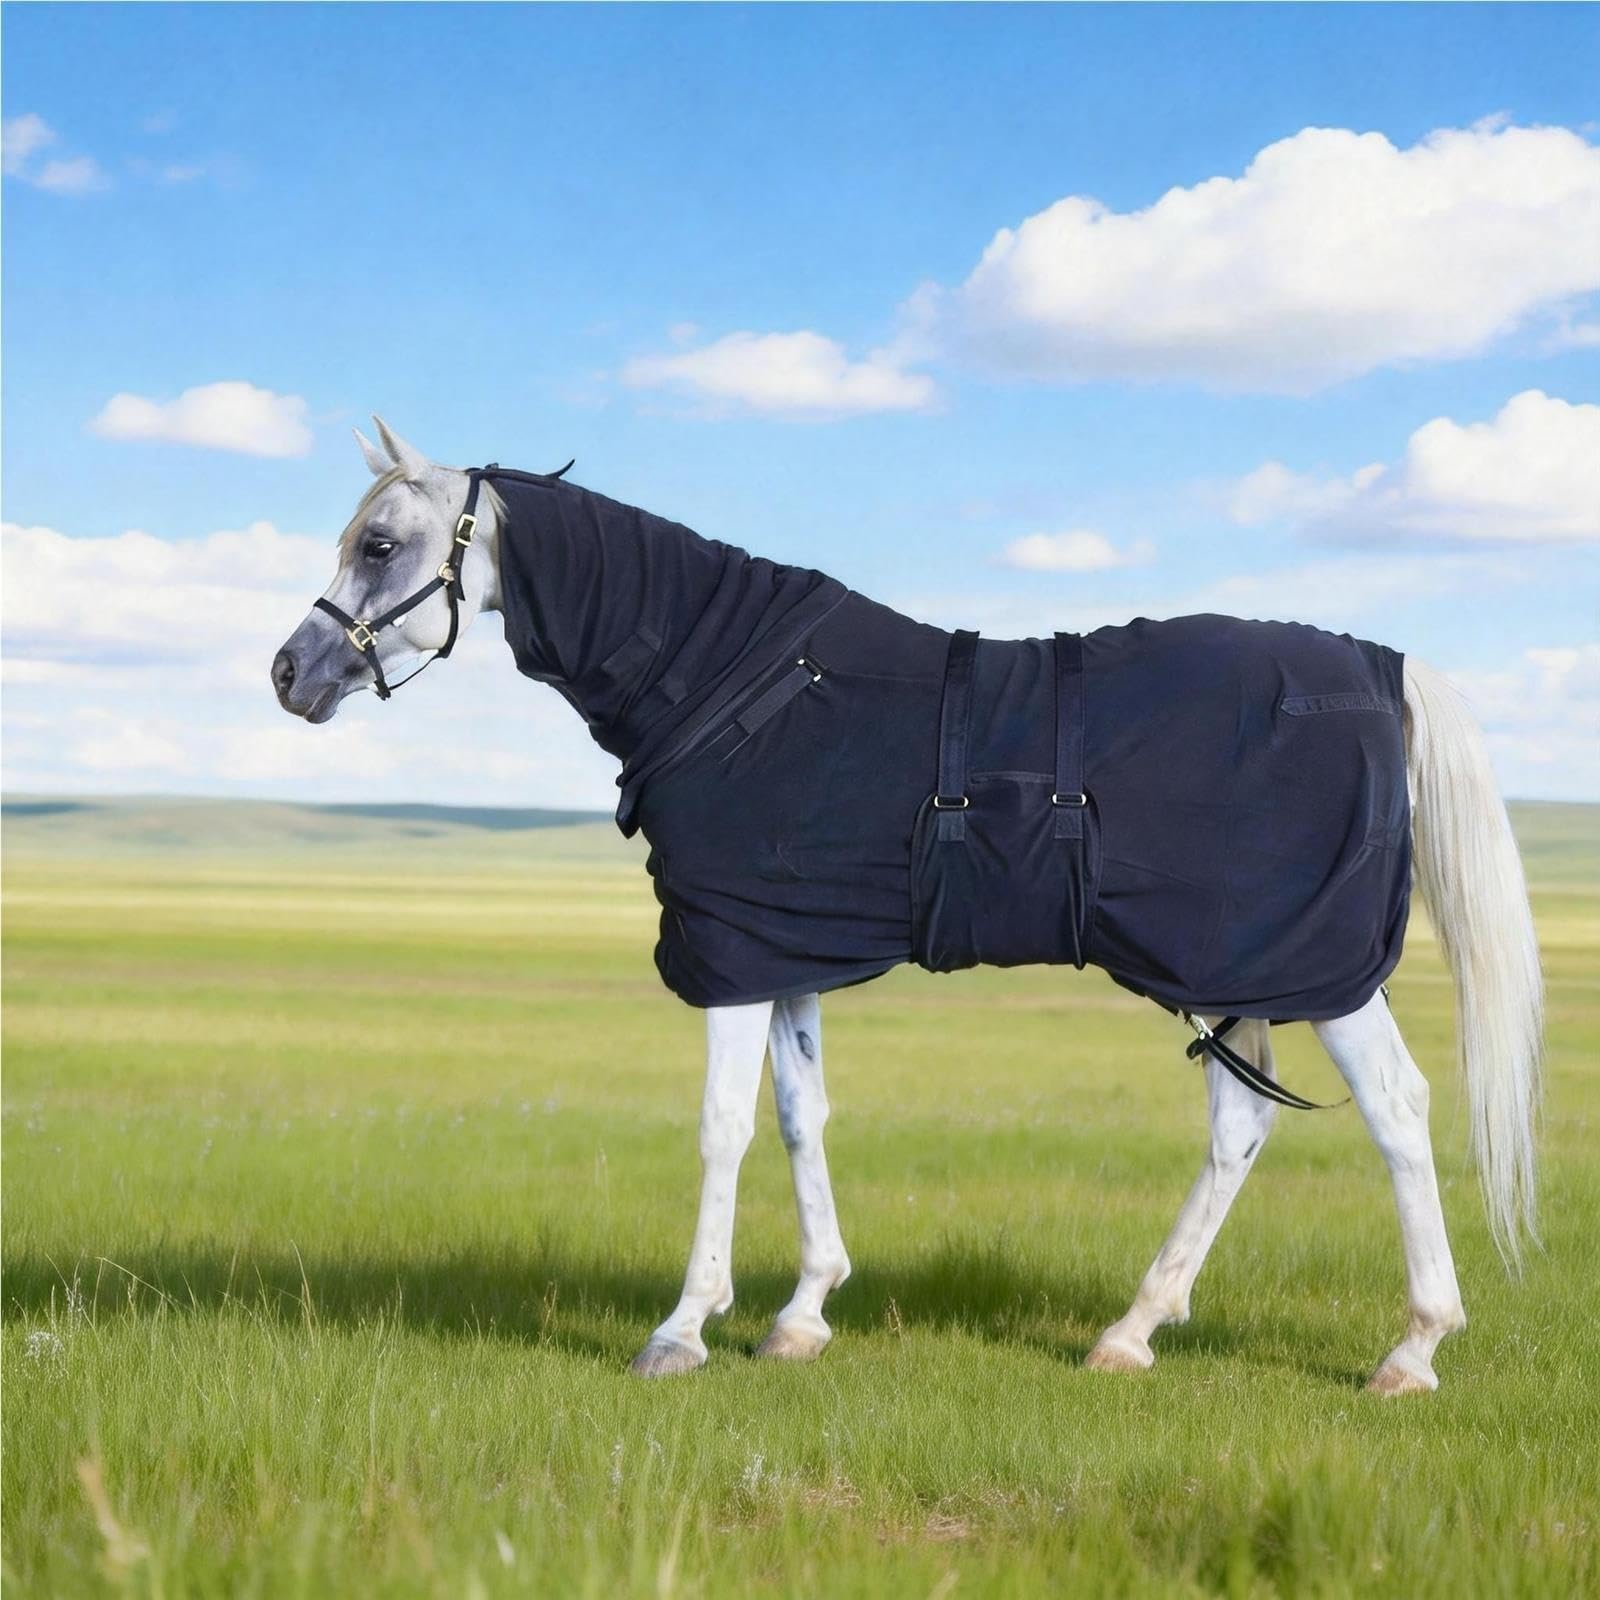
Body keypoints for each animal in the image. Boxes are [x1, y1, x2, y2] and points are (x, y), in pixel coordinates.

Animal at [271, 418, 1542, 1394]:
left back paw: (1412, 1348)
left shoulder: (733, 954)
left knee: (1395, 1109)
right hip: (1237, 967)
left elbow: (724, 1126)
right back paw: (1130, 1331)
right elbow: (801, 1117)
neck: (735, 683)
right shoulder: (780, 952)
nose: (288, 673)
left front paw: (682, 1327)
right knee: (1240, 1123)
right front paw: (801, 1312)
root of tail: (1378, 664)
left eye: (378, 542)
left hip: (1318, 968)